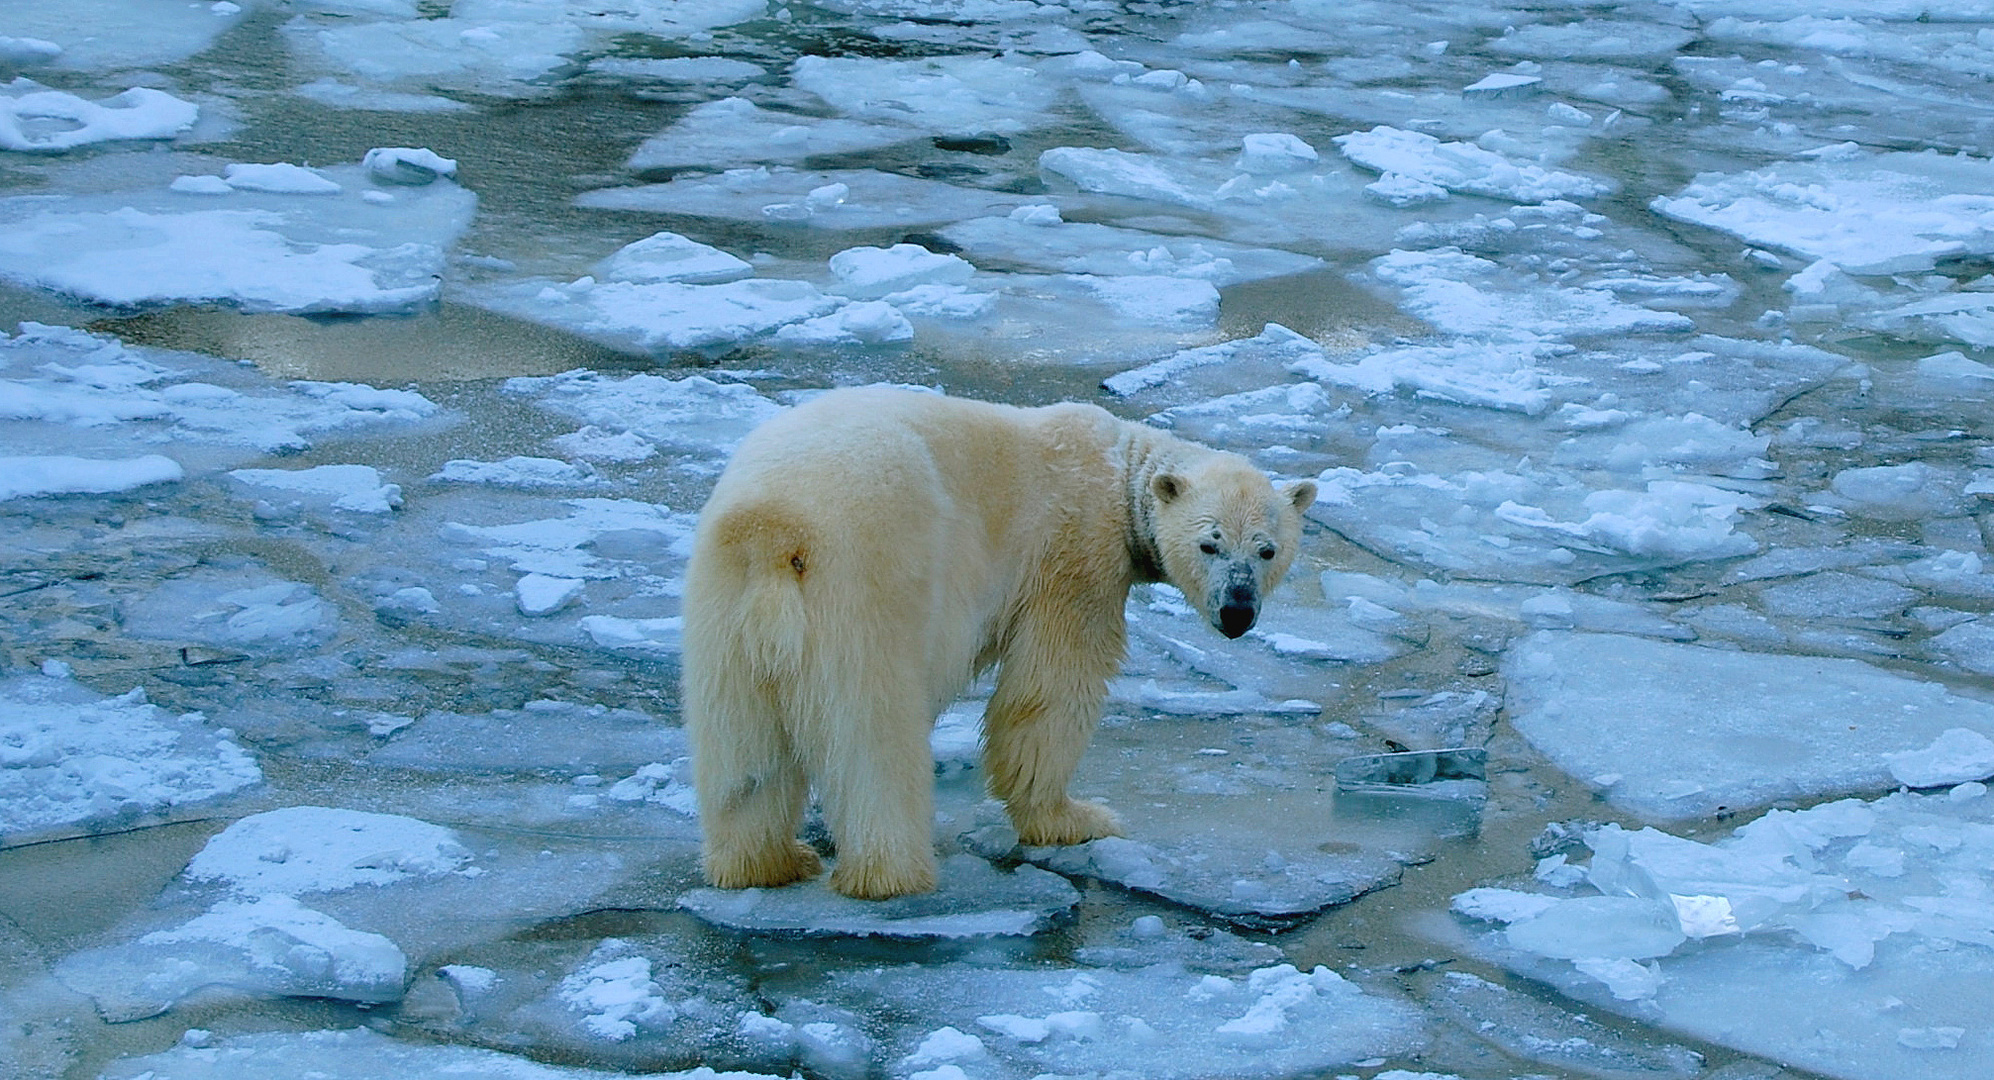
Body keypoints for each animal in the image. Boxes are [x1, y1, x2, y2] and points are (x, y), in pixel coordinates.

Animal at [677, 386, 1316, 896]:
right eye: (1210, 544)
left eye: (1267, 550)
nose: (1237, 611)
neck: (1120, 470)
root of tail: (777, 530)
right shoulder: (1075, 556)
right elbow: (1050, 691)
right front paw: (1074, 818)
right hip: (865, 585)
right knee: (872, 734)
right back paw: (892, 873)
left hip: (724, 604)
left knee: (741, 749)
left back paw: (768, 862)